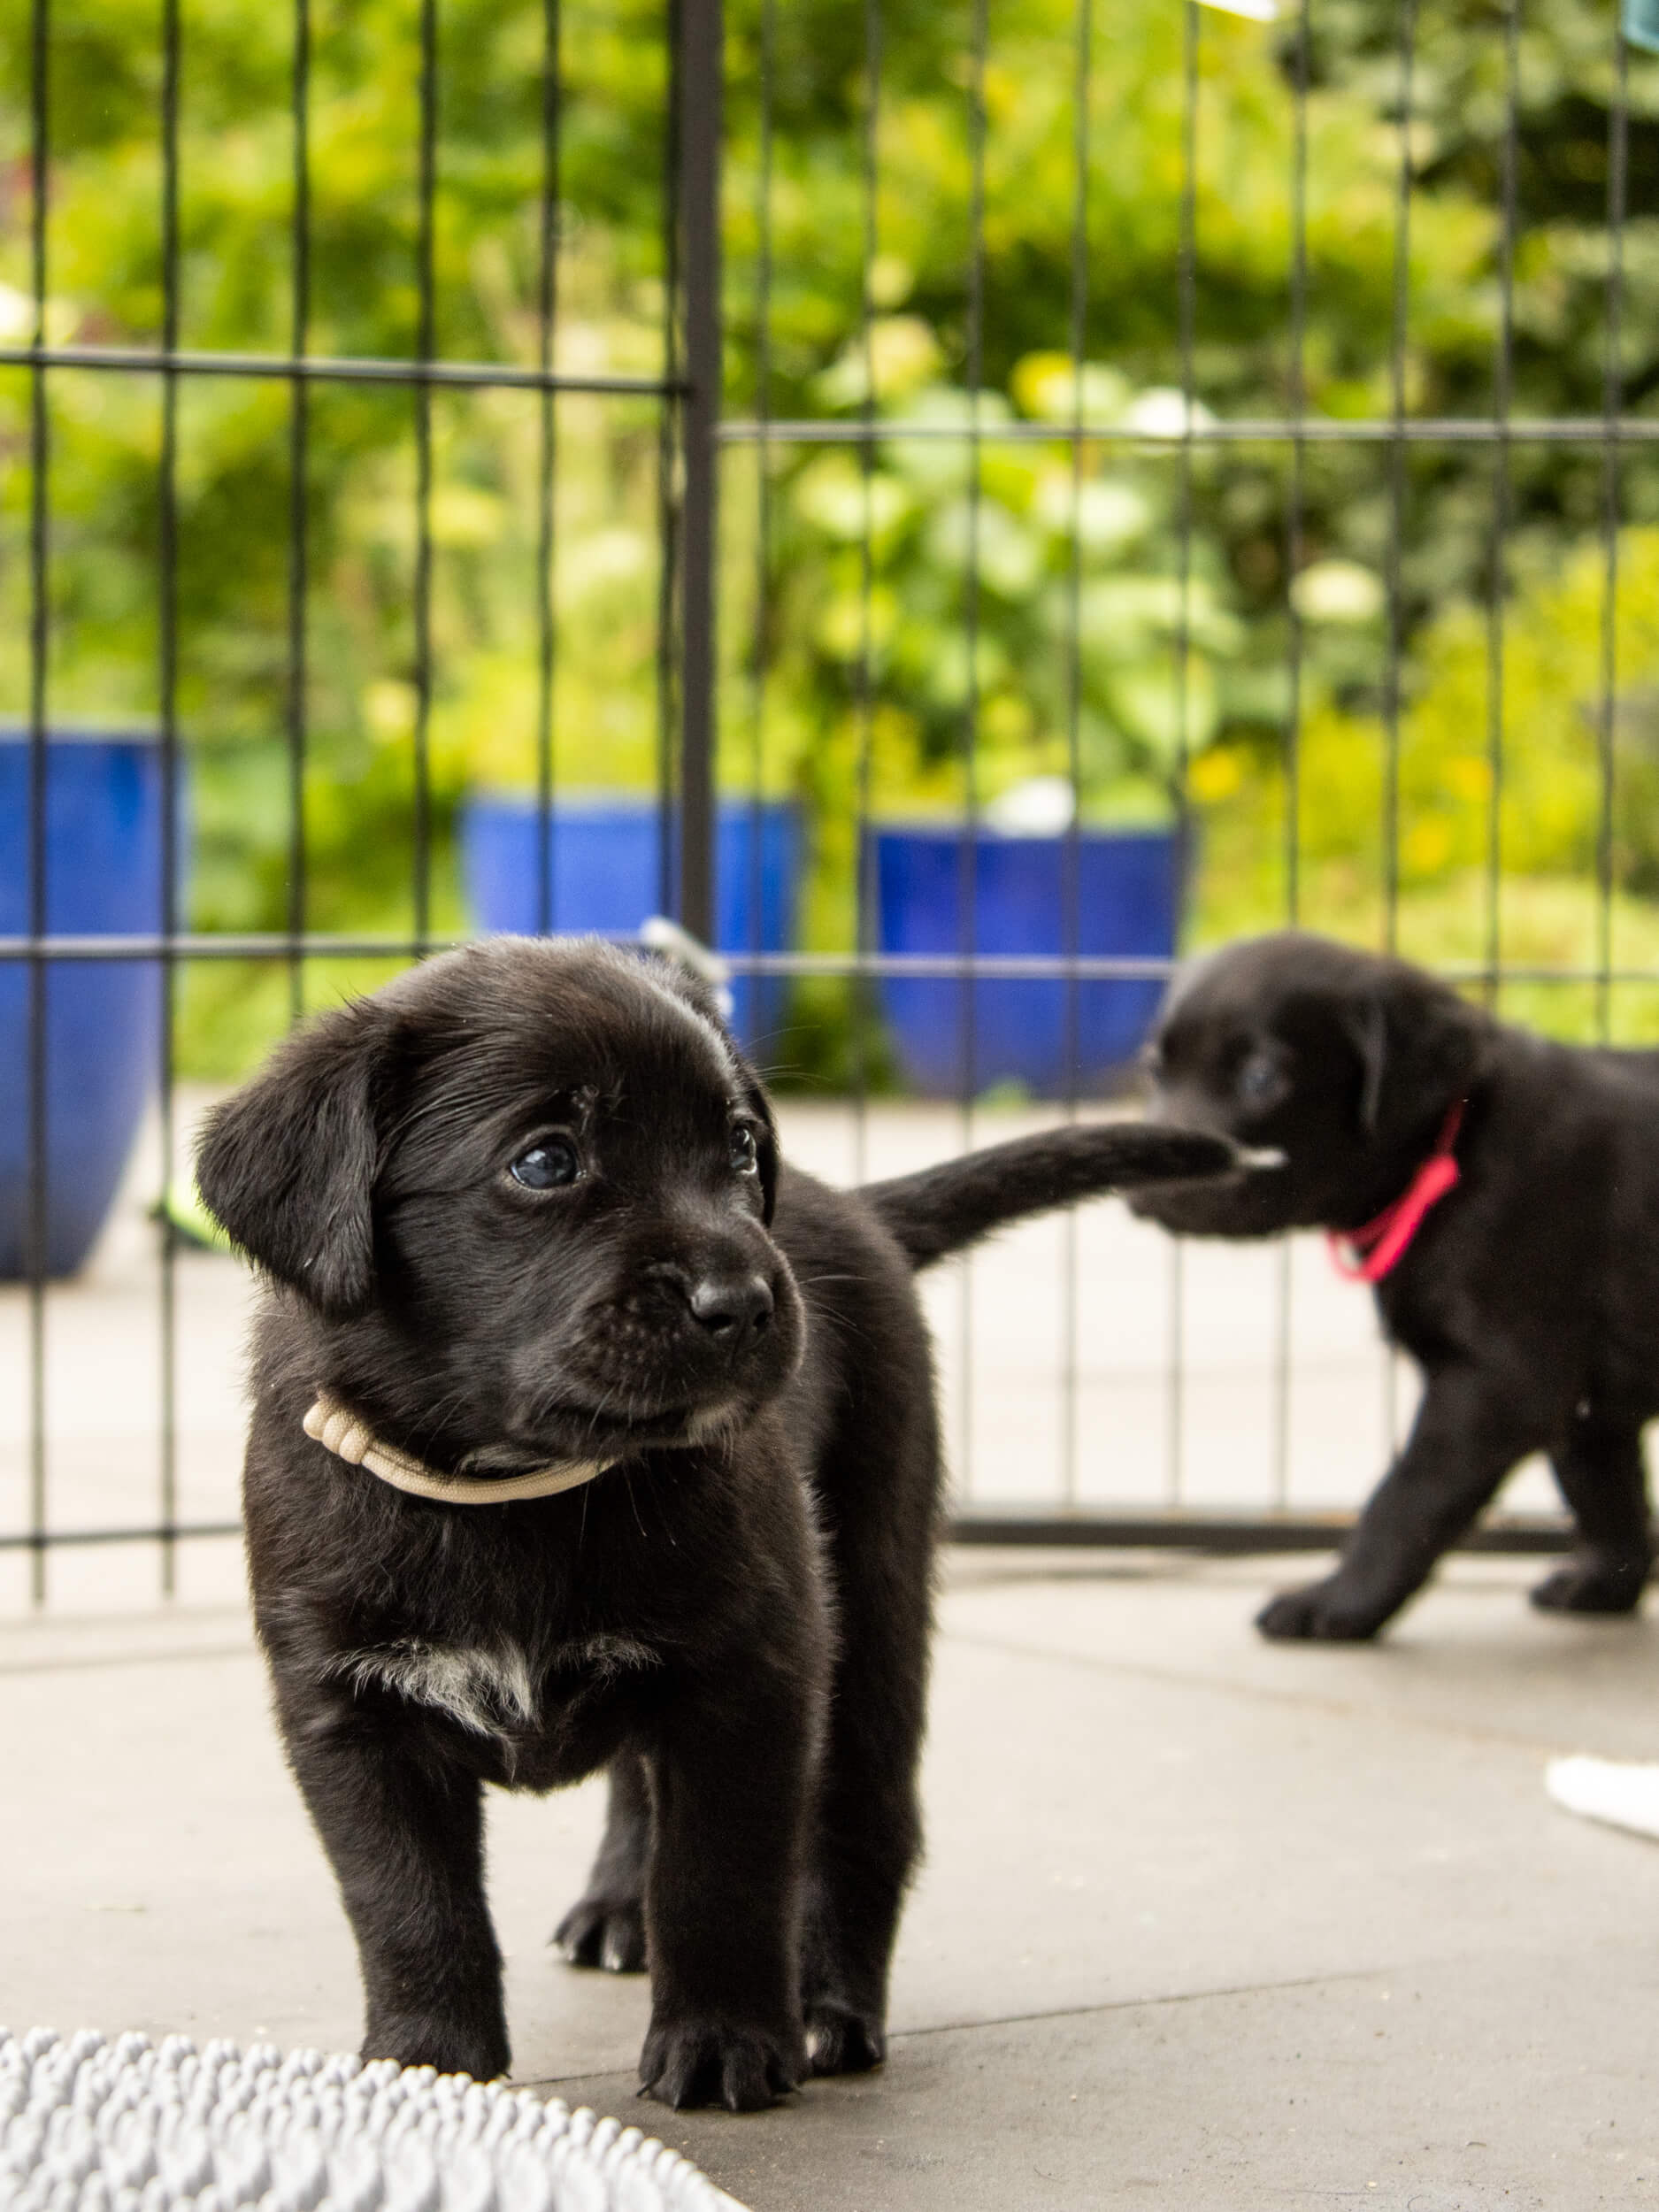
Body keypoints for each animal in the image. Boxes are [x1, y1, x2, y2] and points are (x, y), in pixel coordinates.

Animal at [195, 938, 1239, 2106]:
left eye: (739, 1146)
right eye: (545, 1162)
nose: (742, 1301)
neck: (517, 1489)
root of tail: (855, 1208)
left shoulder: (751, 1675)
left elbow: (721, 1877)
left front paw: (724, 2039)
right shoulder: (350, 1711)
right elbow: (406, 1900)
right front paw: (431, 2062)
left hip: (873, 1602)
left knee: (863, 1820)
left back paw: (829, 2008)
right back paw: (619, 1908)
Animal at [1133, 929, 1659, 1646]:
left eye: (1260, 1077)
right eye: (1155, 1070)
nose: (1142, 1179)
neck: (1451, 1143)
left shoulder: (1501, 1382)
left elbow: (1405, 1498)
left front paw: (1336, 1604)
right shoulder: (1587, 1402)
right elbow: (1603, 1490)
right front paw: (1606, 1583)